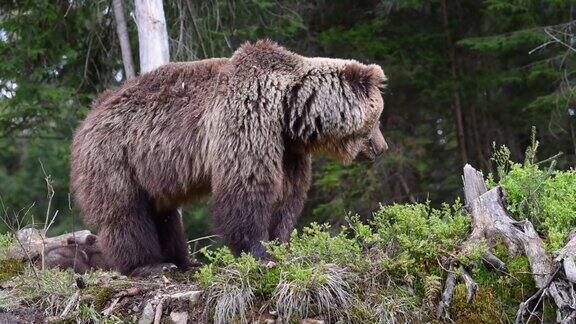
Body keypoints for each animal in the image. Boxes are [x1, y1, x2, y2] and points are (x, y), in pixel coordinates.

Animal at [71, 39, 388, 276]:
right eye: (377, 118)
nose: (382, 147)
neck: (287, 108)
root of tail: (89, 115)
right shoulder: (248, 120)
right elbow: (247, 188)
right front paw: (258, 251)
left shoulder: (287, 150)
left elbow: (288, 196)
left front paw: (281, 244)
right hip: (116, 157)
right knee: (126, 212)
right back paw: (150, 265)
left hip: (152, 170)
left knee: (163, 214)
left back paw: (182, 261)